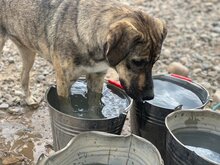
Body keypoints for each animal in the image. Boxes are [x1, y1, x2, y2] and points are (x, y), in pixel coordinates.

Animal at [0, 0, 167, 105]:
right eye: (137, 62)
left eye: (155, 62)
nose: (149, 96)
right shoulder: (63, 83)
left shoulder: (96, 79)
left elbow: (94, 108)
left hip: (28, 51)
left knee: (23, 76)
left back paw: (28, 99)